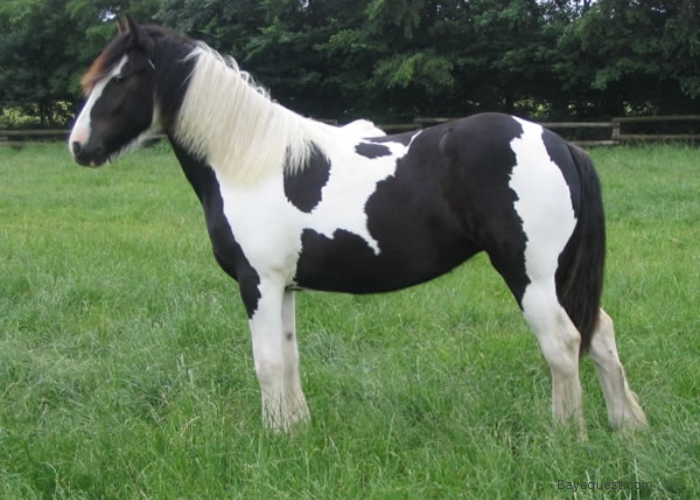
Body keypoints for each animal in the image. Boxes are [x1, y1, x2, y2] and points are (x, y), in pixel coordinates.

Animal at [67, 16, 644, 434]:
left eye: (122, 78)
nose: (78, 146)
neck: (250, 162)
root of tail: (560, 143)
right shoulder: (284, 286)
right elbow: (290, 357)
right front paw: (296, 430)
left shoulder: (258, 283)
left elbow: (267, 362)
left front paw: (272, 438)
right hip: (562, 275)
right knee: (599, 334)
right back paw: (626, 427)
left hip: (530, 274)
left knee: (563, 344)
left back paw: (566, 436)